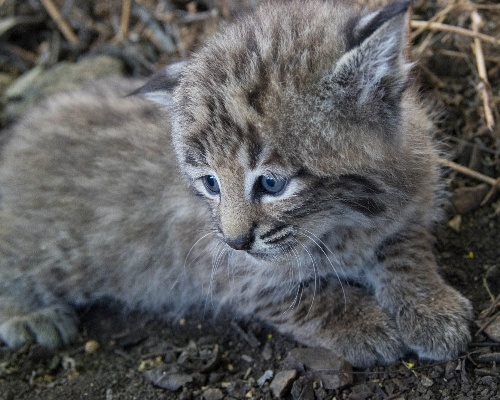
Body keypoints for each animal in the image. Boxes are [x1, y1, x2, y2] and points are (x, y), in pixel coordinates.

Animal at [0, 0, 472, 368]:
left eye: (272, 183)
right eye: (211, 183)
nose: (237, 241)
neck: (344, 220)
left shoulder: (411, 198)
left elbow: (406, 250)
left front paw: (431, 307)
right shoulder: (217, 267)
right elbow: (297, 296)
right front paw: (361, 323)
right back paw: (28, 316)